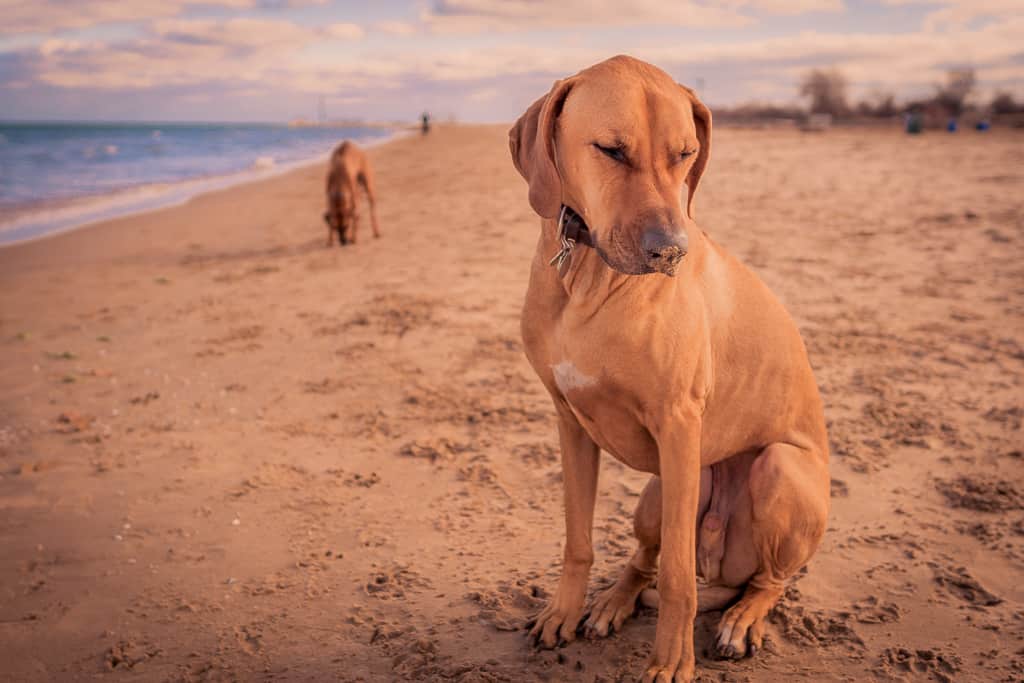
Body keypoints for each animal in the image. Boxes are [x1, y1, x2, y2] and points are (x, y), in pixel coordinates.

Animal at [507, 56, 827, 679]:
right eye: (610, 149)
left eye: (685, 153)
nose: (671, 251)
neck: (592, 274)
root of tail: (722, 567)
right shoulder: (568, 421)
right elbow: (578, 540)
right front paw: (563, 611)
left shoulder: (679, 426)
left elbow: (679, 580)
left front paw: (672, 661)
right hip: (658, 492)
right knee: (644, 557)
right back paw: (613, 601)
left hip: (774, 471)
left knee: (766, 580)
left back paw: (742, 617)